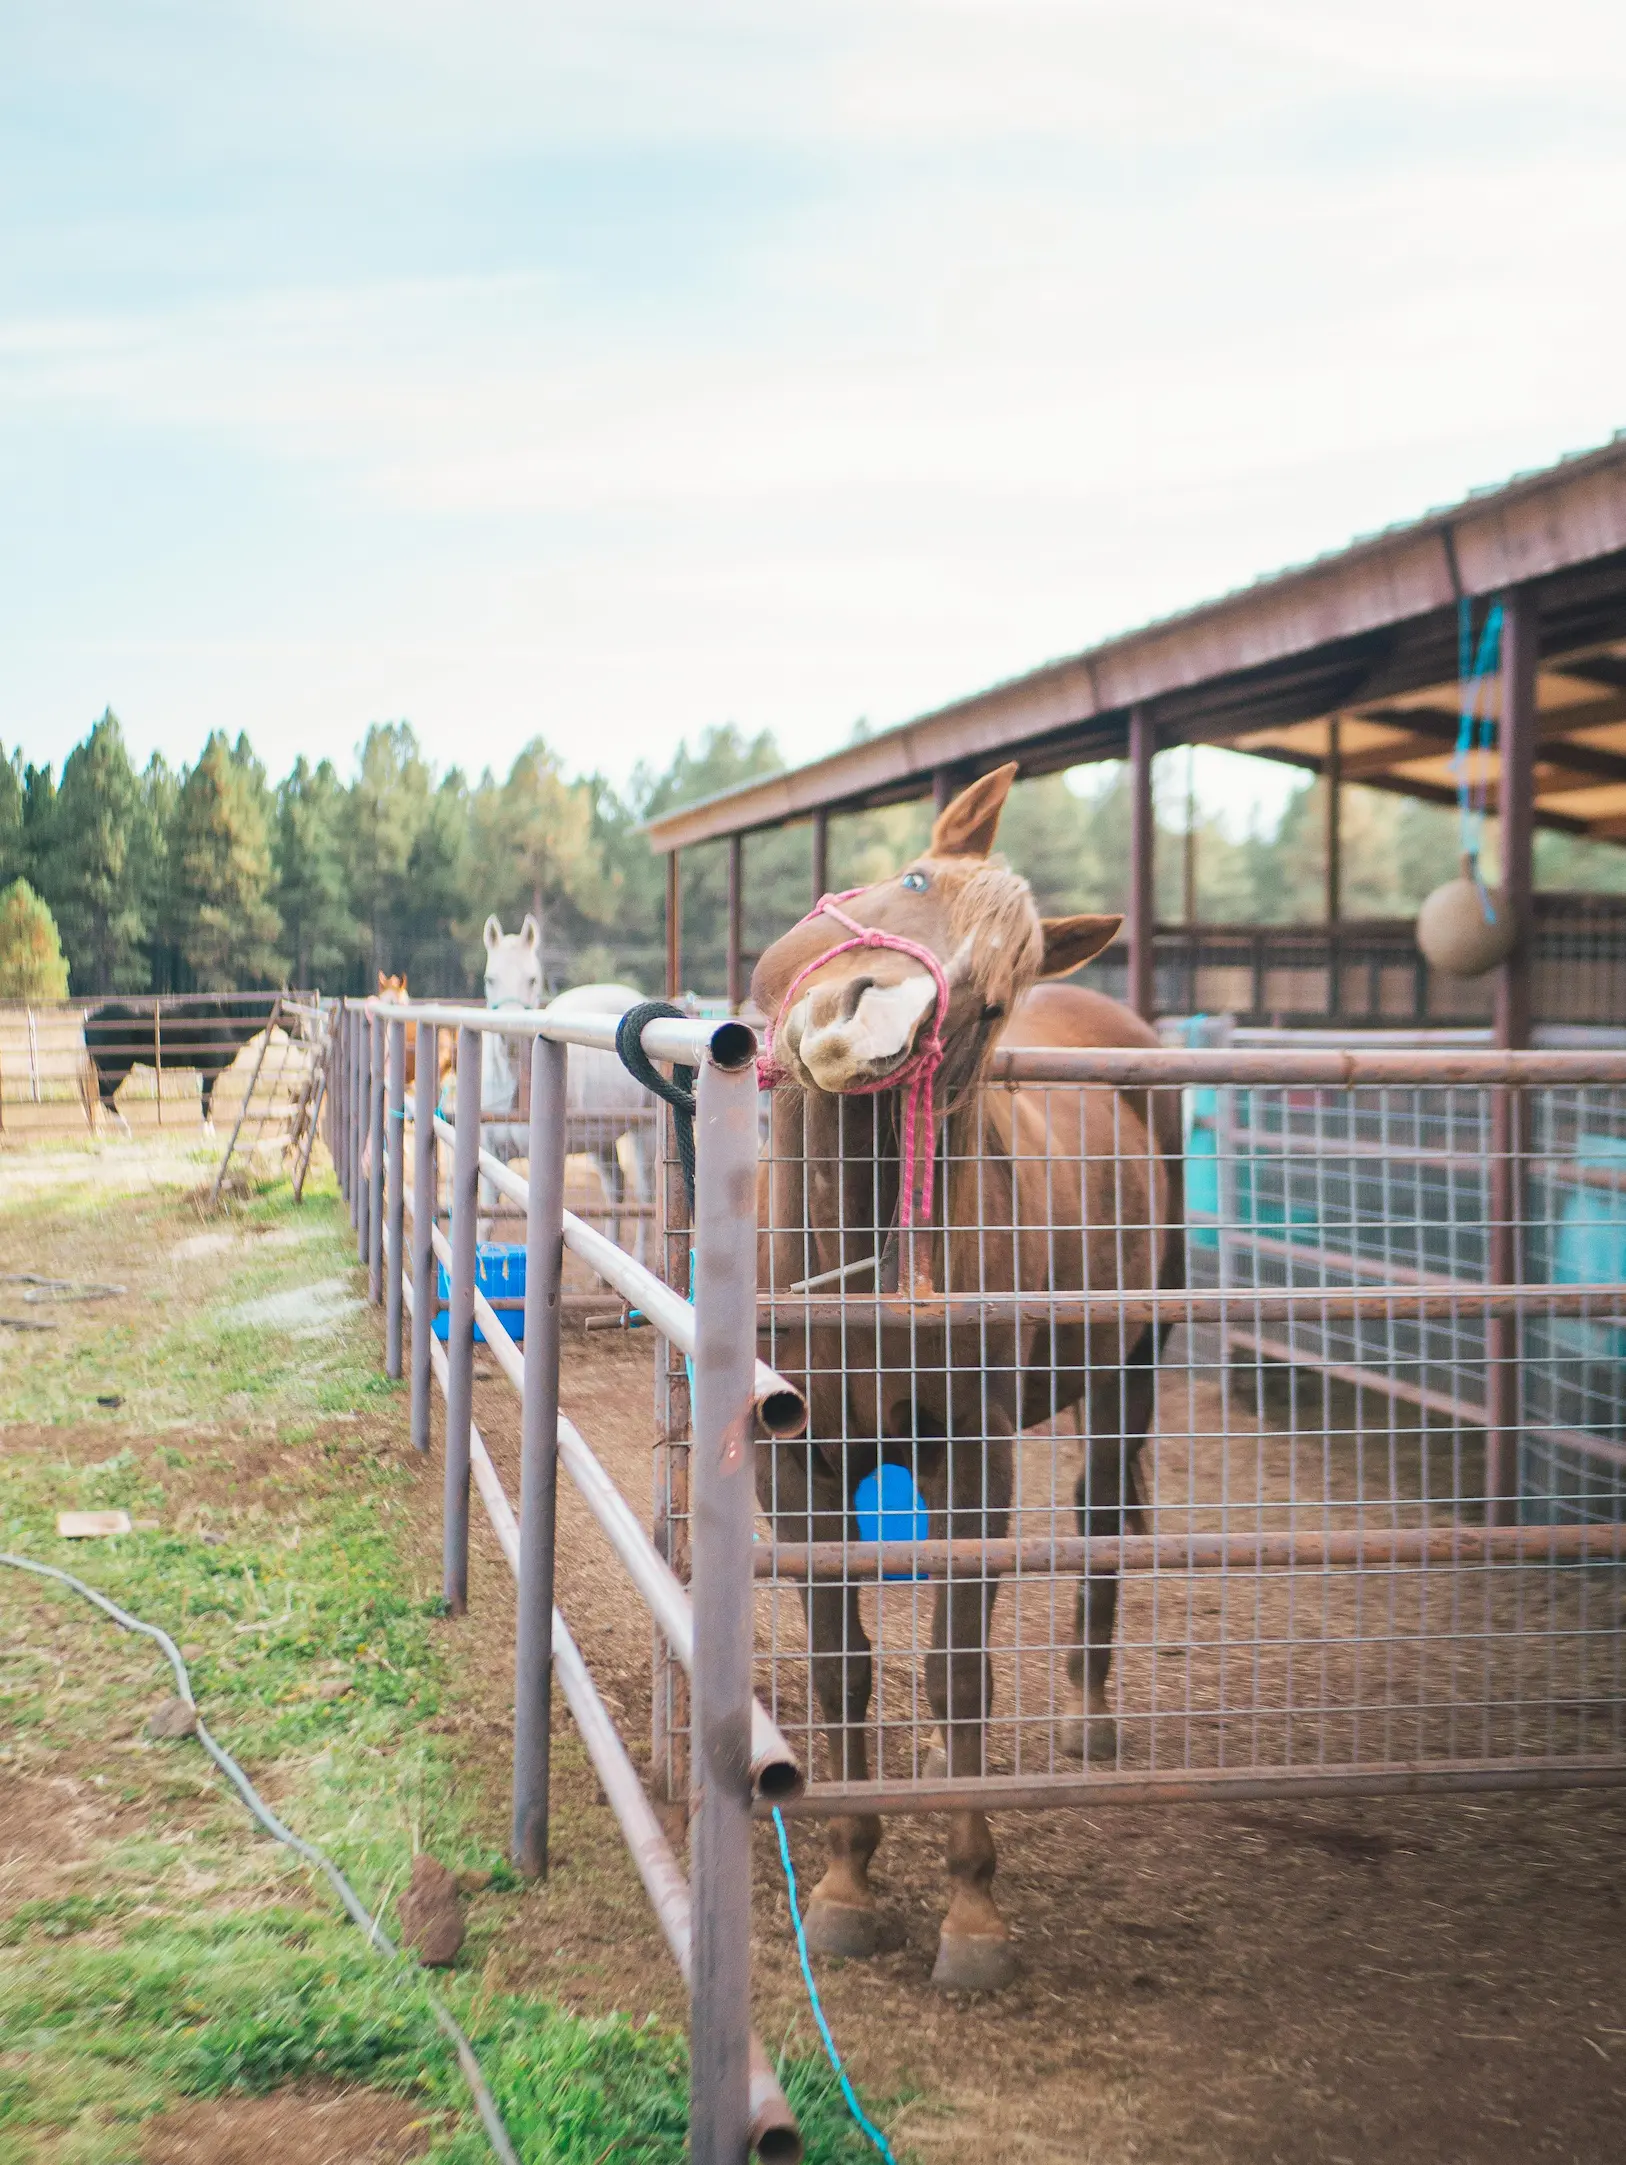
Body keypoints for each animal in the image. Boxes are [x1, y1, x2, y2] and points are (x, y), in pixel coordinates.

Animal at [81, 1000, 277, 1125]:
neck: (227, 1023)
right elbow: (206, 1102)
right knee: (106, 1097)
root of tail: (89, 1019)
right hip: (116, 1068)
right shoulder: (209, 1071)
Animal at [749, 766, 1186, 1991]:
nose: (870, 1021)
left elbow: (959, 1669)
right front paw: (846, 1881)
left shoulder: (973, 1462)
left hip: (1133, 1363)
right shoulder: (800, 1468)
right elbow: (842, 1668)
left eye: (996, 1000)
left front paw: (971, 1907)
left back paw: (1087, 1715)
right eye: (912, 879)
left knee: (1099, 1513)